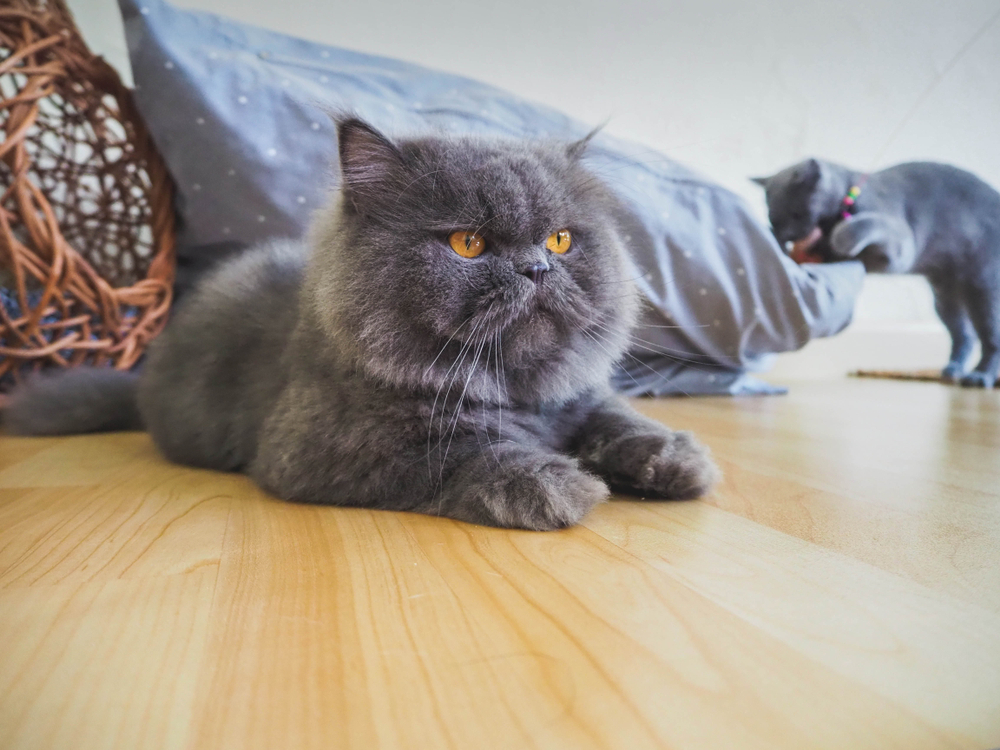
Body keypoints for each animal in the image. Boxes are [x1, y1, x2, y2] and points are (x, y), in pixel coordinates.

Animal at [1, 119, 720, 528]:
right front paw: (554, 483)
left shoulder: (581, 398)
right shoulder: (322, 448)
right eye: (467, 244)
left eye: (561, 240)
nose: (538, 269)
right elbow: (463, 451)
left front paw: (673, 458)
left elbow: (618, 419)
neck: (512, 391)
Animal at [756, 161, 1000, 390]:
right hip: (945, 298)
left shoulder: (899, 247)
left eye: (797, 214)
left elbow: (859, 227)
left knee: (991, 338)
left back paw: (980, 376)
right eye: (773, 219)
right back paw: (952, 369)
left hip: (983, 287)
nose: (785, 236)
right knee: (964, 335)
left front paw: (835, 241)